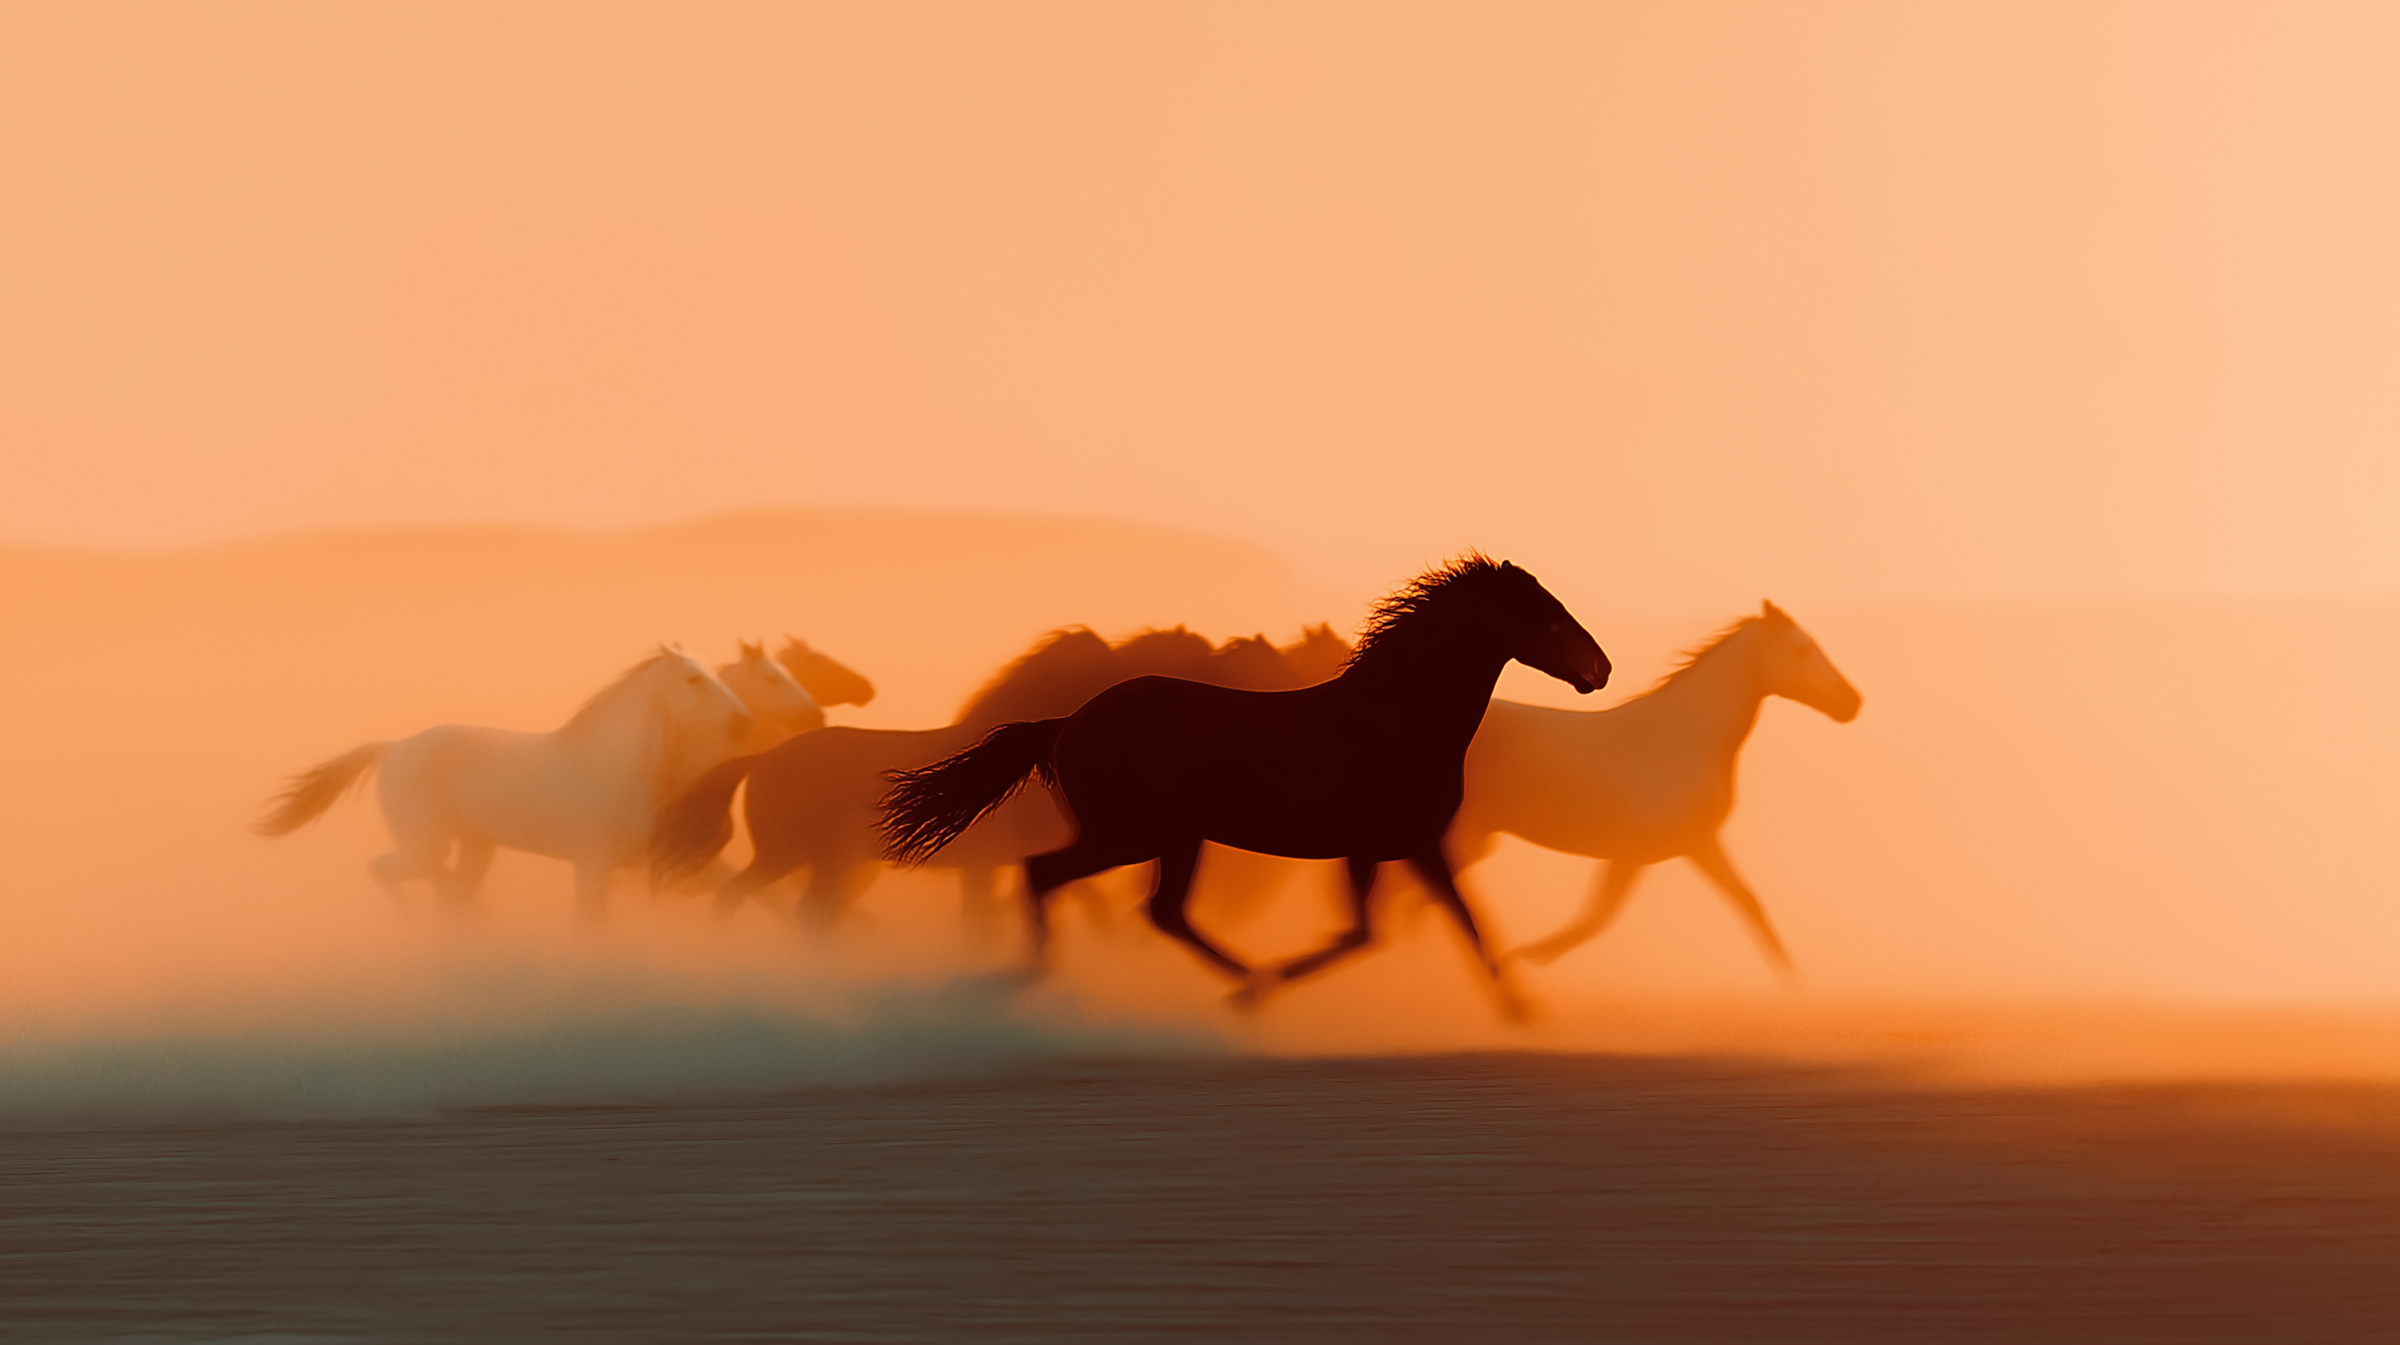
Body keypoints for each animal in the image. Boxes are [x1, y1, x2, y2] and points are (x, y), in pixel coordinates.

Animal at [257, 648, 753, 922]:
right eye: (693, 679)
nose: (741, 721)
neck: (618, 771)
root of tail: (394, 747)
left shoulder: (661, 864)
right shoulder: (593, 866)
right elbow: (590, 926)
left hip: (475, 847)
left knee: (448, 891)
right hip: (423, 847)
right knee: (387, 872)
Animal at [879, 557, 1608, 1014]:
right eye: (1548, 617)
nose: (1599, 669)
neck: (1396, 718)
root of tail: (1067, 722)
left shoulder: (1414, 848)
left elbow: (1463, 924)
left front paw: (1521, 1007)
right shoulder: (1375, 849)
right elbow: (1370, 934)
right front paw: (1276, 980)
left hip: (1167, 838)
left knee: (1152, 909)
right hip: (1135, 835)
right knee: (1051, 876)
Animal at [1448, 601, 1860, 978]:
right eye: (1800, 649)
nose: (1852, 702)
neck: (1683, 739)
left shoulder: (1699, 844)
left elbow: (1749, 904)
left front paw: (1796, 986)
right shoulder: (1630, 853)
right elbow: (1595, 920)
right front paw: (1520, 961)